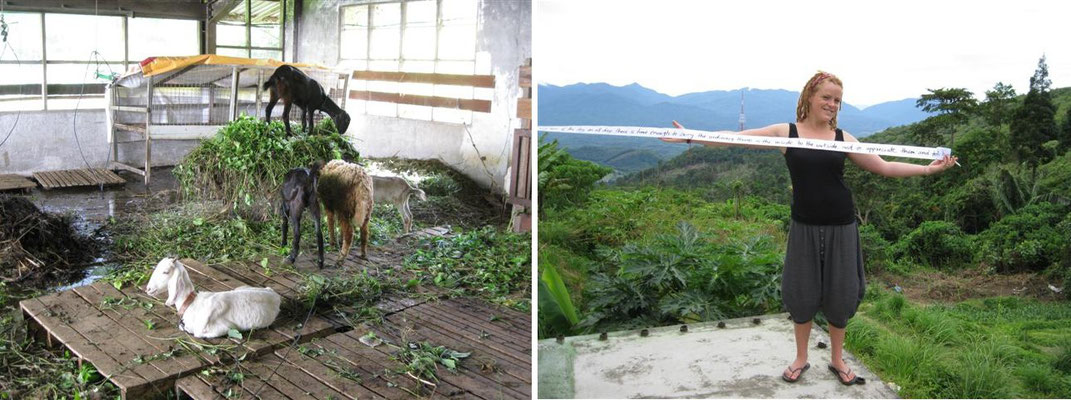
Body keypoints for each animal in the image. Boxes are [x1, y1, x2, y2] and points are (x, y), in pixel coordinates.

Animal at [144, 257, 282, 338]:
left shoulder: (223, 328)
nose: (148, 289)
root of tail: (274, 294)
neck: (192, 304)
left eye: (165, 272)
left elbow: (197, 333)